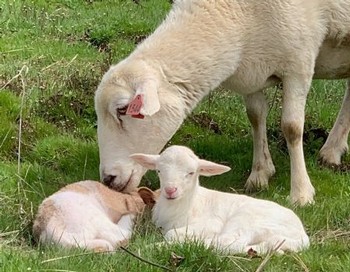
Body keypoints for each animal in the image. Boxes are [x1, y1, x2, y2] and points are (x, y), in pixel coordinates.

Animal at [131, 146, 308, 254]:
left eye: (191, 173)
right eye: (159, 171)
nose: (170, 190)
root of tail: (302, 236)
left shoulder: (212, 222)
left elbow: (171, 234)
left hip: (248, 219)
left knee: (229, 241)